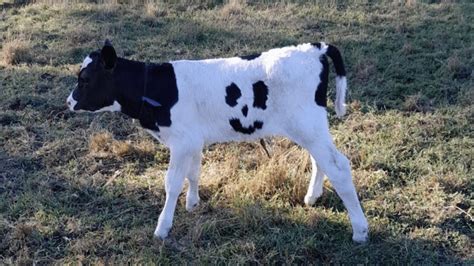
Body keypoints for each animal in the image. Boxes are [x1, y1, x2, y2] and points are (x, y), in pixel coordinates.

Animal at [67, 40, 370, 243]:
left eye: (85, 79)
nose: (69, 102)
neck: (157, 88)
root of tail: (315, 47)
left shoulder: (181, 141)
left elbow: (172, 183)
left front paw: (162, 228)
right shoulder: (192, 139)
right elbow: (193, 172)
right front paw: (192, 203)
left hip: (308, 125)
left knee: (339, 166)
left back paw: (360, 230)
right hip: (309, 128)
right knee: (322, 161)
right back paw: (312, 197)